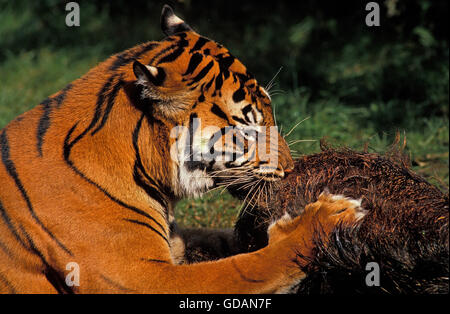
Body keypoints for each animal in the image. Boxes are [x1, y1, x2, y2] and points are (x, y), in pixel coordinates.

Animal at [0, 4, 366, 294]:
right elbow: (246, 267)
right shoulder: (141, 277)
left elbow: (223, 240)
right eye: (248, 128)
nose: (291, 168)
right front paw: (326, 217)